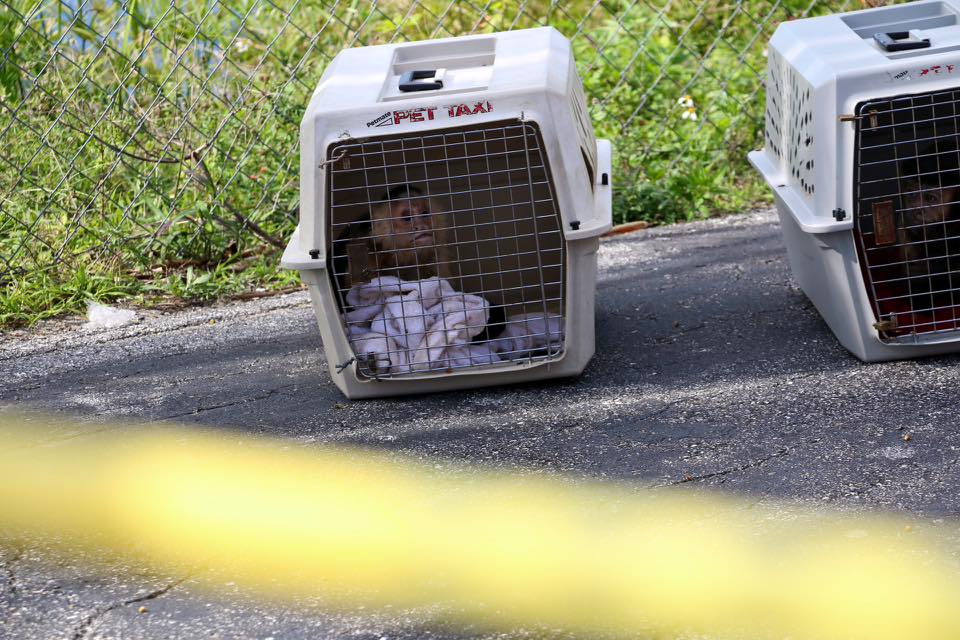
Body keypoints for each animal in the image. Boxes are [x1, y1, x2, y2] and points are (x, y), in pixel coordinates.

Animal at [282, 31, 612, 400]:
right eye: (407, 217)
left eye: (424, 213)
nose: (422, 224)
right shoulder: (364, 247)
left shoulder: (436, 251)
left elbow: (445, 287)